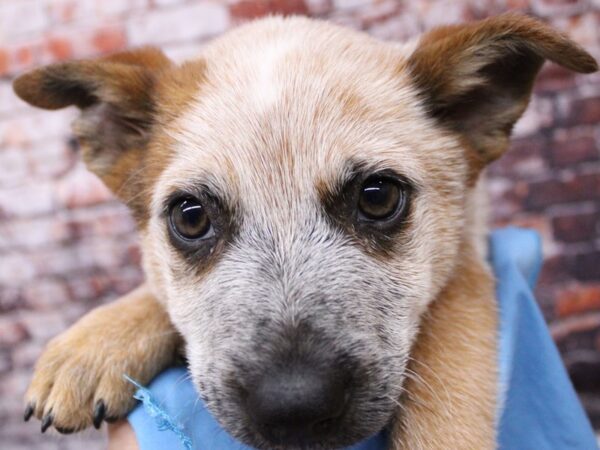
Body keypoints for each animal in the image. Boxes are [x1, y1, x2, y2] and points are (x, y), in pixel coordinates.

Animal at [12, 12, 596, 448]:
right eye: (191, 216)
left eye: (378, 197)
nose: (294, 407)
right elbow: (154, 289)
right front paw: (94, 344)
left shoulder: (470, 251)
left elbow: (453, 344)